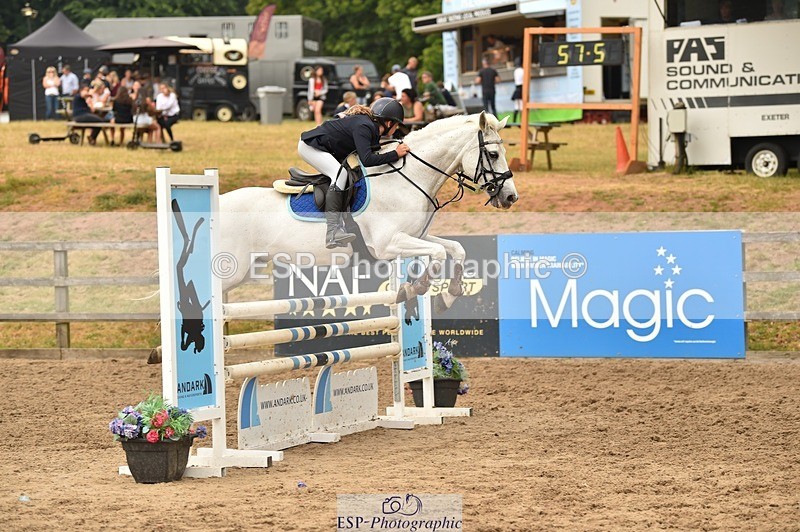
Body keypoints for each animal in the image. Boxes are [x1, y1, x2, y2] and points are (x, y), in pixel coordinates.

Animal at [218, 111, 518, 310]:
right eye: (493, 155)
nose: (510, 196)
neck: (408, 177)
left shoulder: (414, 236)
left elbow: (455, 248)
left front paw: (449, 294)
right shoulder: (386, 245)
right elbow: (438, 253)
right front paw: (416, 288)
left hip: (247, 269)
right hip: (232, 270)